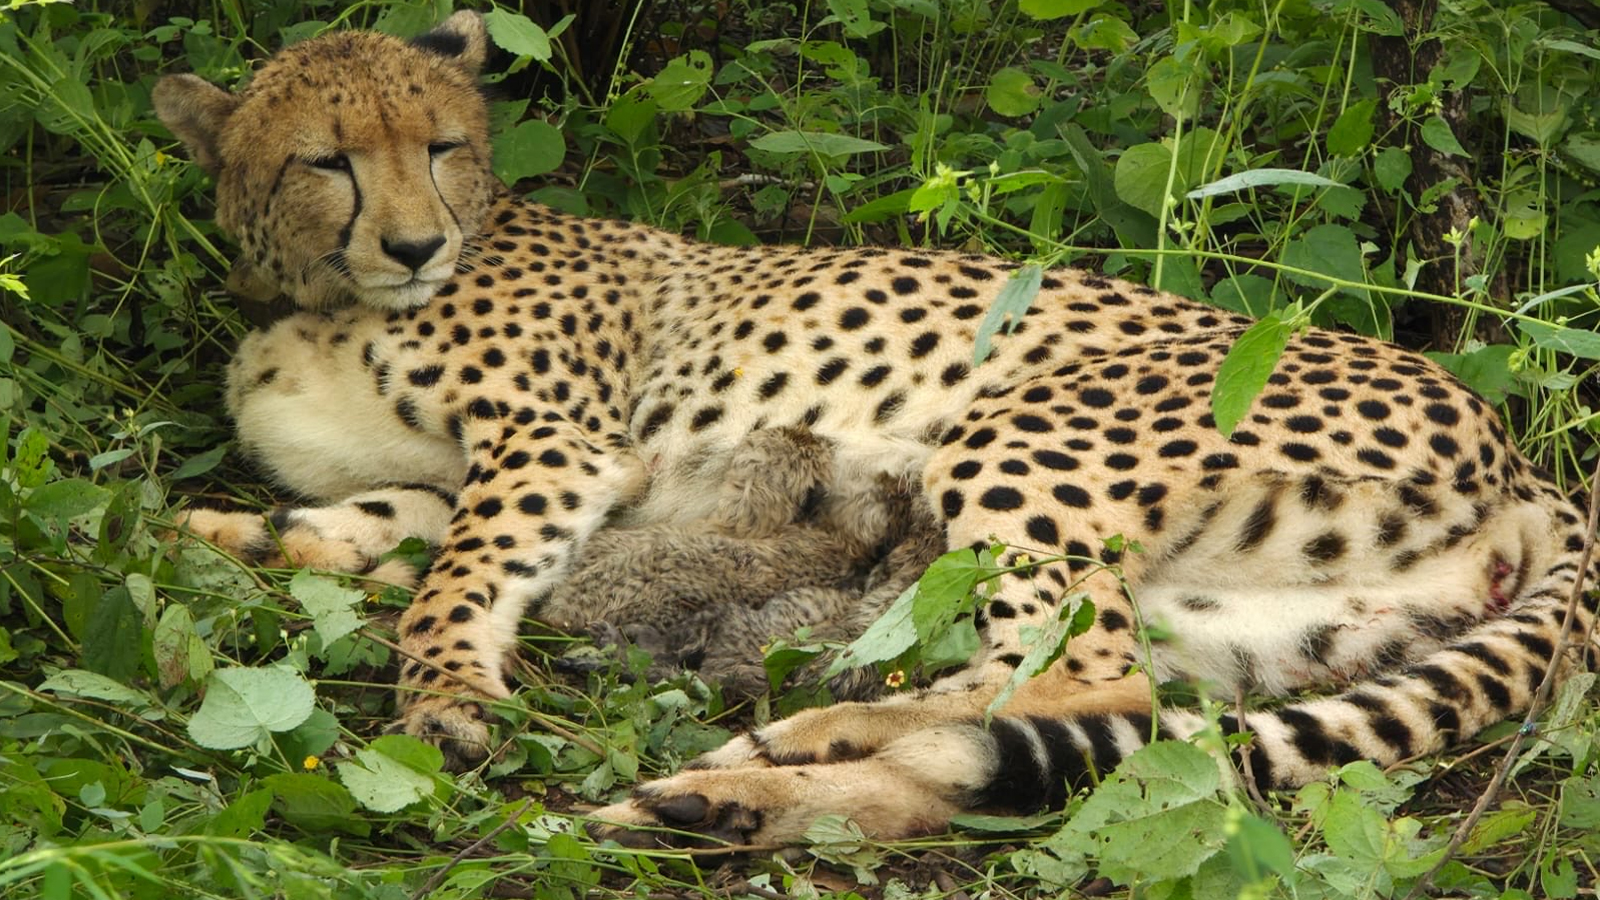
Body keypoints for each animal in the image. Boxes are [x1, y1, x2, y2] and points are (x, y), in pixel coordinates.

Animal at [152, 10, 1598, 848]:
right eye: (327, 159)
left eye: (443, 144)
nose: (414, 243)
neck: (320, 296)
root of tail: (1523, 453)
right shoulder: (458, 478)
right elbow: (359, 528)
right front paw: (214, 538)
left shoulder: (555, 449)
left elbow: (448, 585)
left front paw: (446, 699)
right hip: (1257, 623)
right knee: (1081, 716)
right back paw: (744, 792)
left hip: (1022, 430)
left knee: (1078, 680)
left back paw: (781, 749)